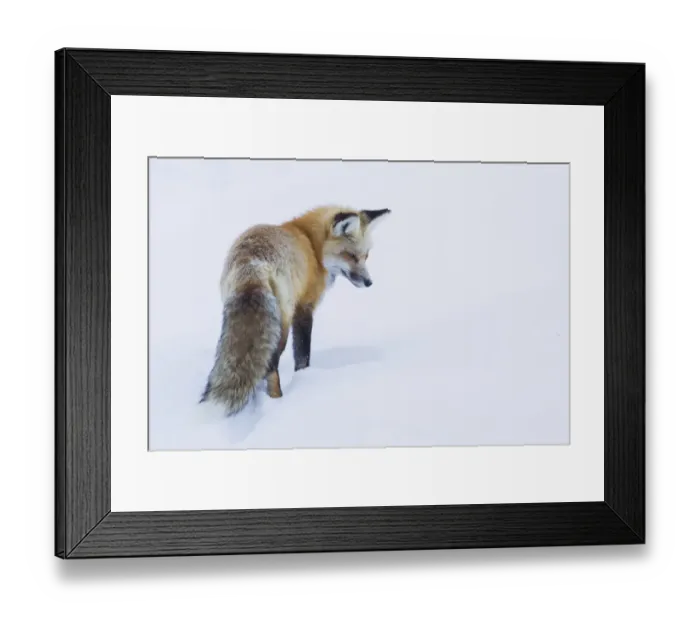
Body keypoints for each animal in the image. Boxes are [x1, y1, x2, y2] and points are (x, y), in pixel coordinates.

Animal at [199, 205, 391, 415]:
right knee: (271, 365)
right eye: (351, 255)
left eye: (366, 255)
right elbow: (302, 354)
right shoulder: (303, 309)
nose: (369, 282)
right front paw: (304, 377)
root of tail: (251, 265)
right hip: (280, 326)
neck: (312, 245)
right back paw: (277, 400)